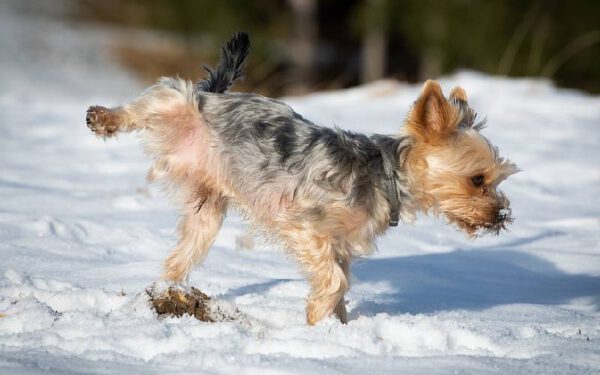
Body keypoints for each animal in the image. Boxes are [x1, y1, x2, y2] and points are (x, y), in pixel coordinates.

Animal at [84, 33, 516, 326]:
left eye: (497, 180)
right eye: (478, 179)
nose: (501, 216)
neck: (386, 177)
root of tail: (216, 94)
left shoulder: (340, 244)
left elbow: (340, 282)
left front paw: (336, 329)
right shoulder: (306, 227)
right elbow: (335, 281)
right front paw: (316, 319)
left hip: (207, 211)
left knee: (182, 254)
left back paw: (168, 292)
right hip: (177, 102)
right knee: (153, 98)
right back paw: (102, 117)